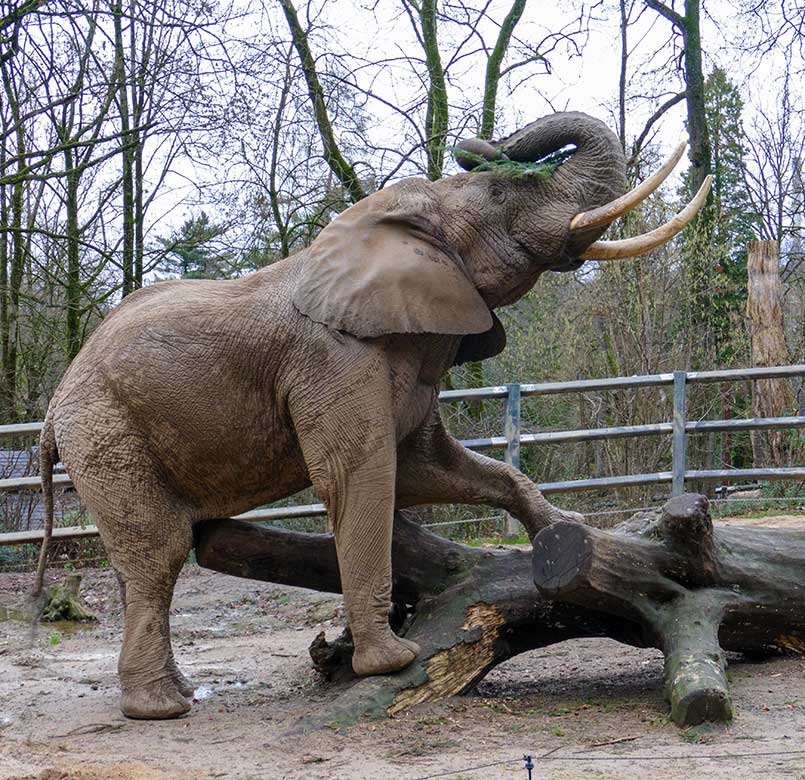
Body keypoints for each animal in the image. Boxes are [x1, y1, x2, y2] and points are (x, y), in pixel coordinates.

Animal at [33, 109, 708, 720]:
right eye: (500, 192)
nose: (481, 146)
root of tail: (50, 412)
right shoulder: (332, 358)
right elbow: (363, 476)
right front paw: (392, 662)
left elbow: (430, 468)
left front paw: (567, 529)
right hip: (106, 434)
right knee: (159, 553)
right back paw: (162, 709)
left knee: (141, 565)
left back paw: (175, 691)